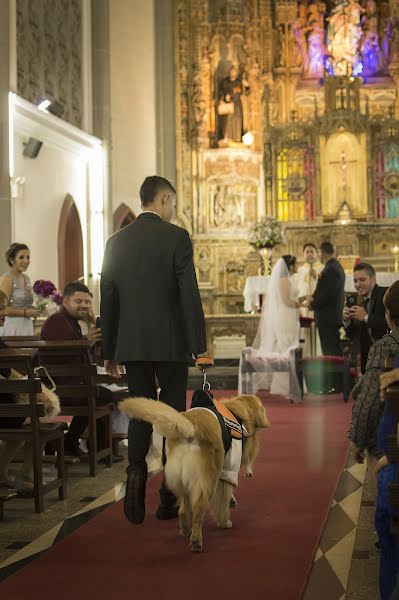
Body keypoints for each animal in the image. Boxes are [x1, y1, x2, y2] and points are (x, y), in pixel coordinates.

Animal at [121, 394, 272, 552]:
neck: (236, 412)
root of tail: (190, 426)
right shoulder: (229, 465)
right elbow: (223, 499)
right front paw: (225, 522)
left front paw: (231, 501)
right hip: (206, 480)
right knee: (198, 511)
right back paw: (196, 541)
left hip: (181, 481)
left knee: (182, 510)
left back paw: (186, 530)